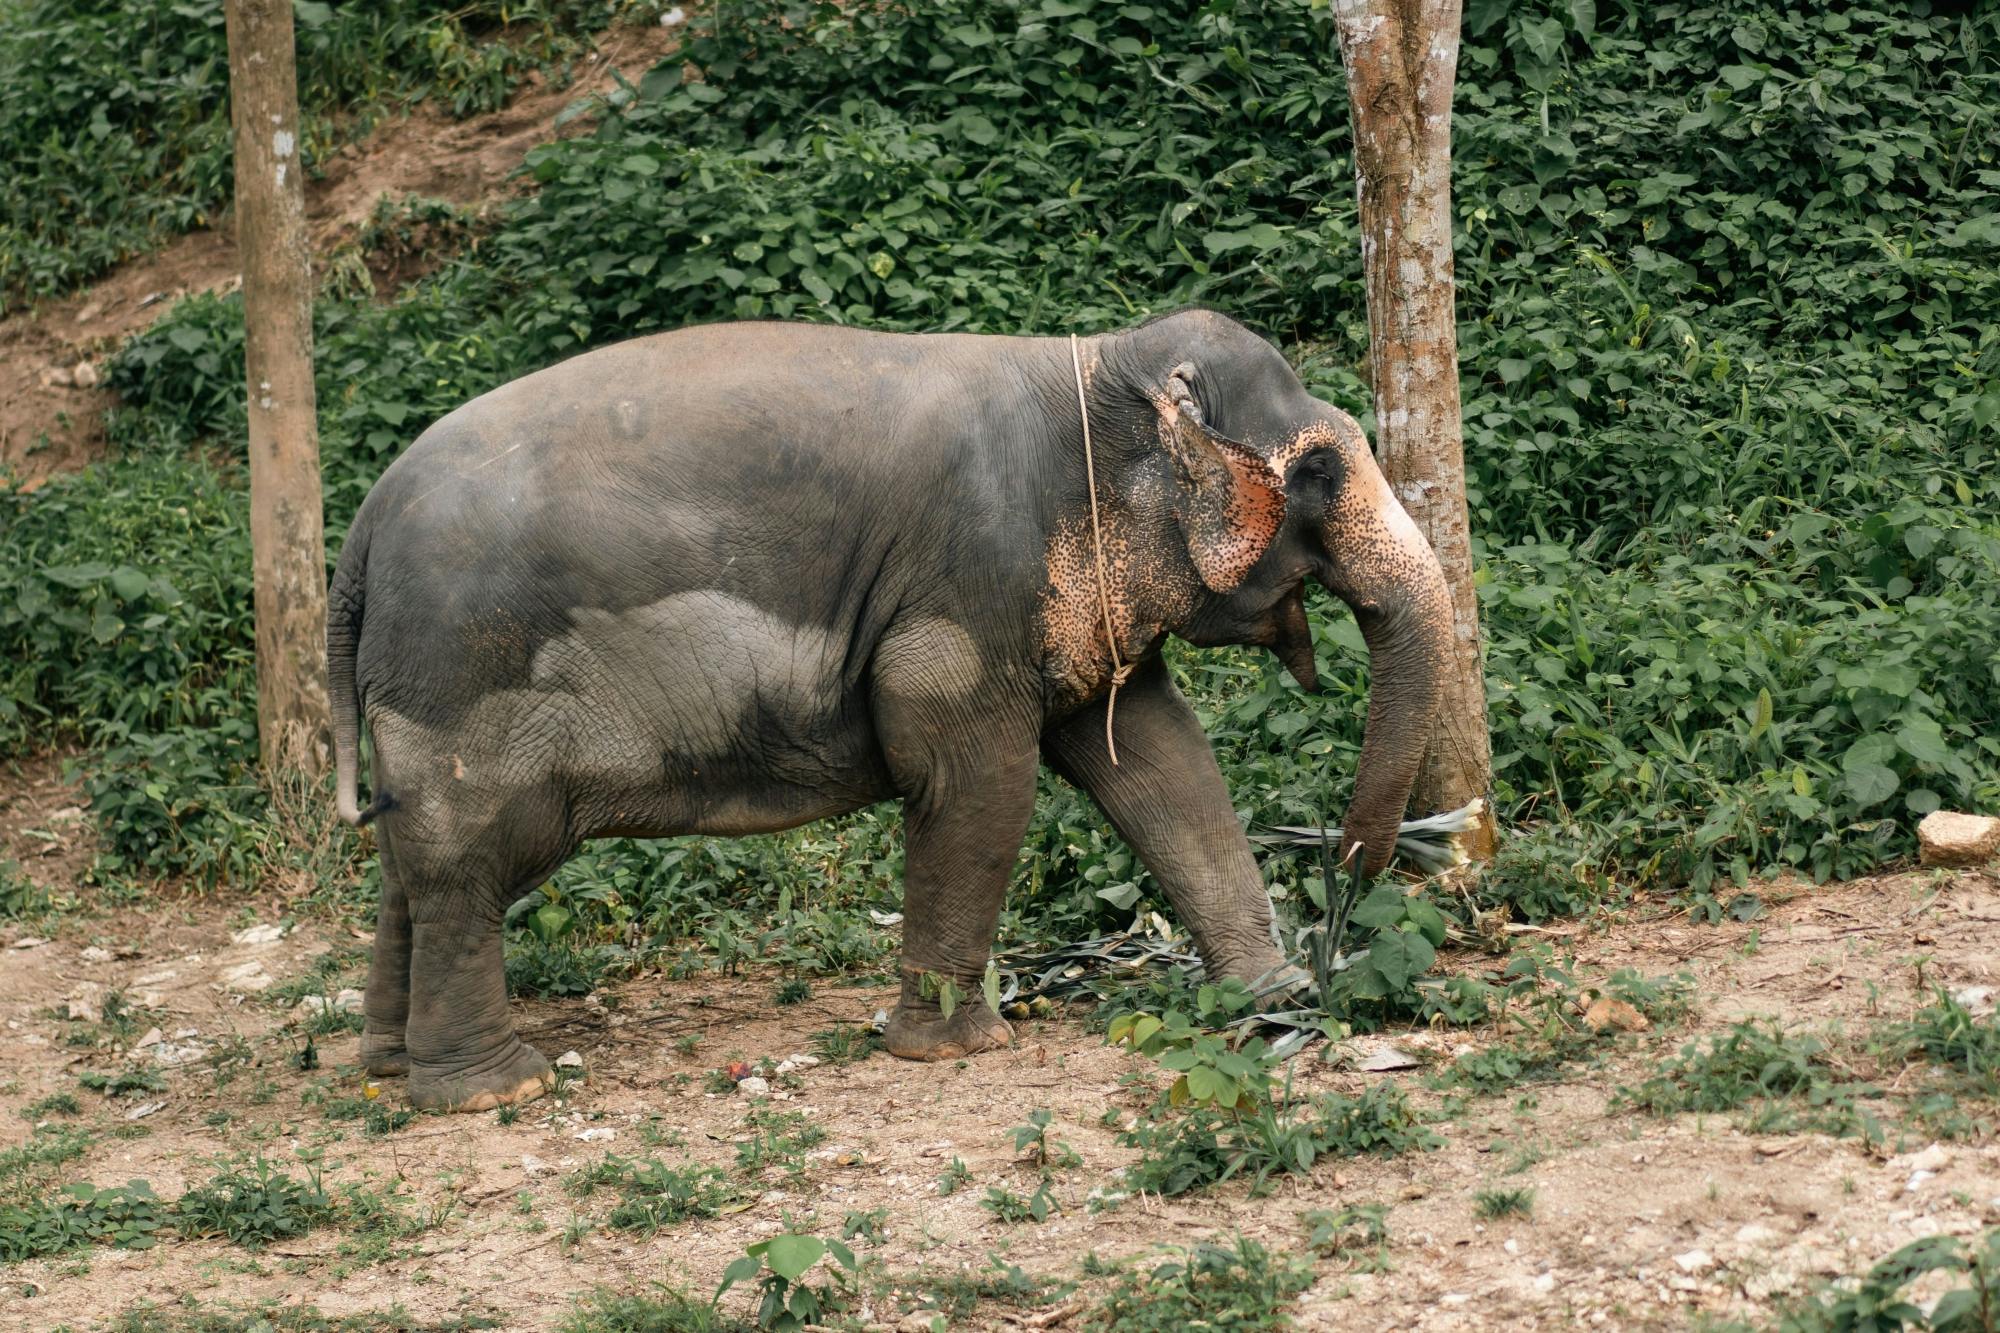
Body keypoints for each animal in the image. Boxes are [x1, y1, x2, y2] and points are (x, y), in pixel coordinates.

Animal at [326, 307, 1452, 1112]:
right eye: (1317, 471)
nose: (1354, 869)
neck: (1094, 369)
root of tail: (361, 532)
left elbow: (1161, 762)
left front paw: (1271, 999)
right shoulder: (967, 586)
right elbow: (976, 779)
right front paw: (952, 1048)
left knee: (413, 867)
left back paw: (390, 1066)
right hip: (466, 680)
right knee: (468, 863)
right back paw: (491, 1089)